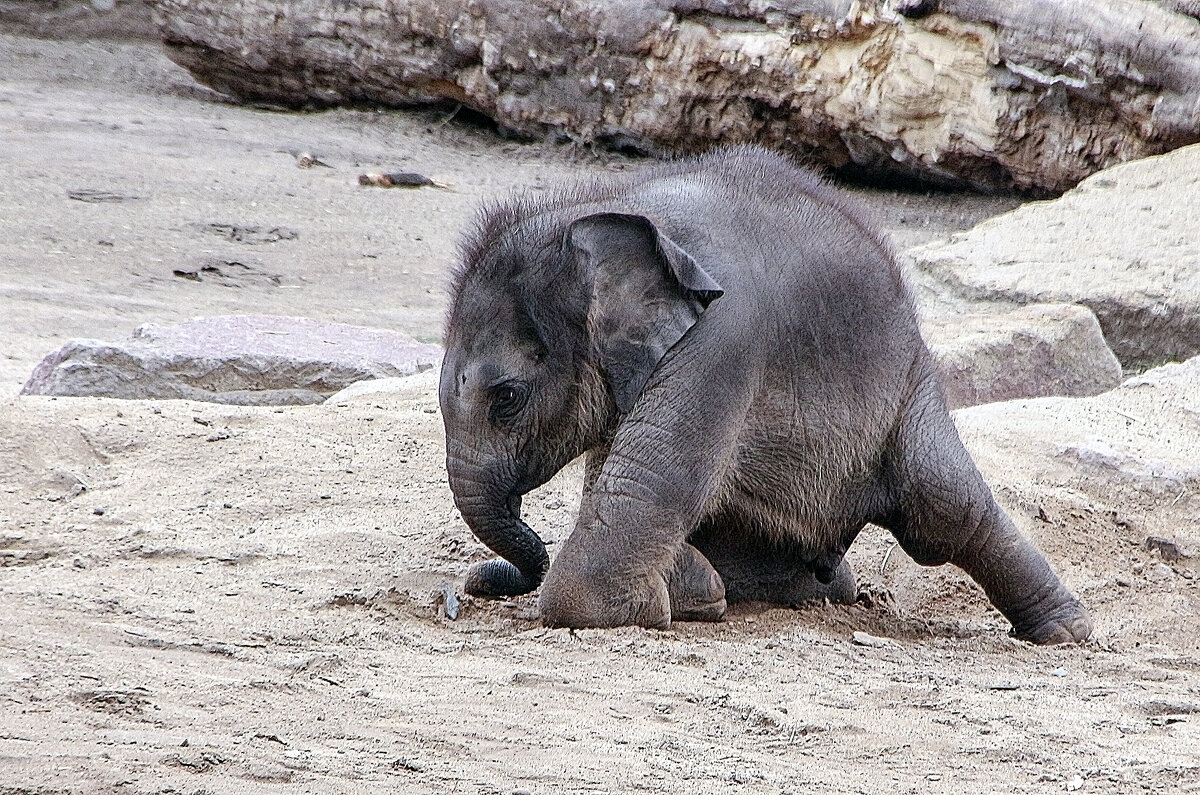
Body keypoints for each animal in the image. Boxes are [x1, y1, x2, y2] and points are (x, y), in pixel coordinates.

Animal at [439, 147, 1089, 648]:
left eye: (507, 397)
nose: (476, 582)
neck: (592, 213)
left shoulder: (721, 341)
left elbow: (639, 493)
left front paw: (653, 607)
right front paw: (694, 594)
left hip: (907, 390)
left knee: (945, 511)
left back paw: (1064, 633)